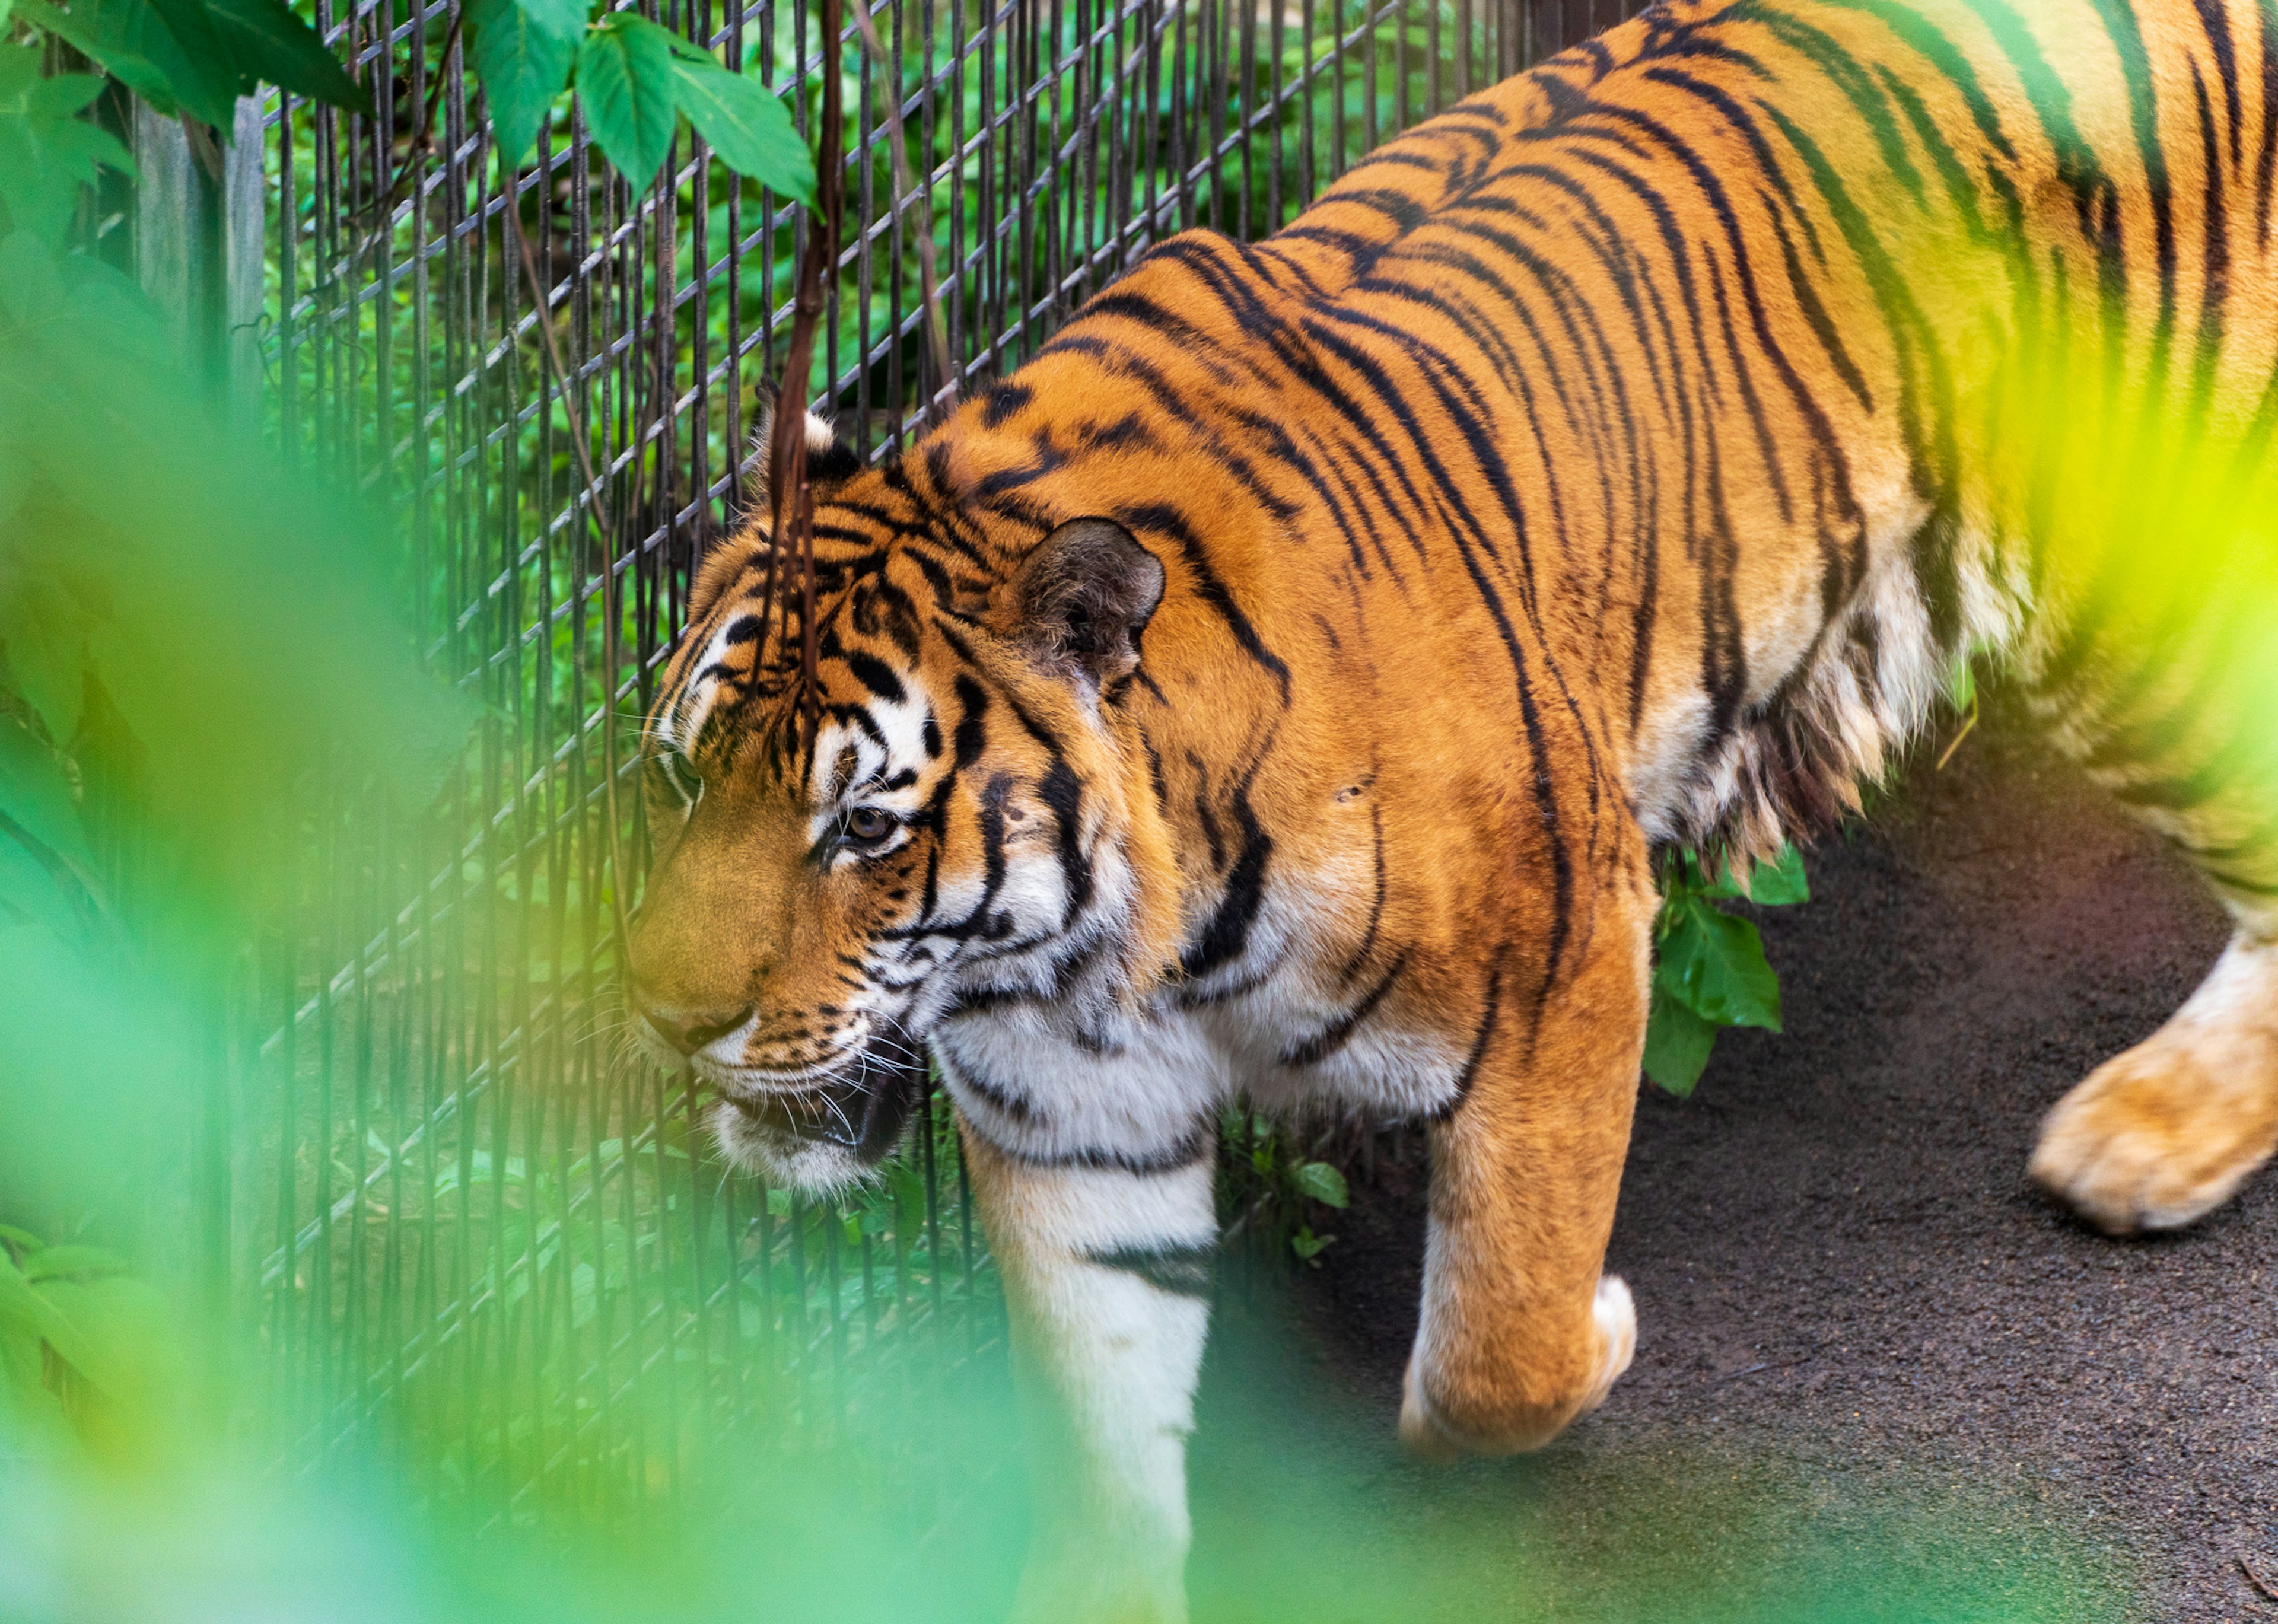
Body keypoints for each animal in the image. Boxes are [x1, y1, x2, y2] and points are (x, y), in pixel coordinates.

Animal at [624, 0, 2278, 1612]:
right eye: (684, 771)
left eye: (866, 827)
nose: (661, 1015)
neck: (1121, 950)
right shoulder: (1070, 1113)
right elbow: (1103, 1432)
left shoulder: (1568, 970)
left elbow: (1500, 1350)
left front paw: (1595, 1332)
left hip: (2139, 602)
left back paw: (2144, 1139)